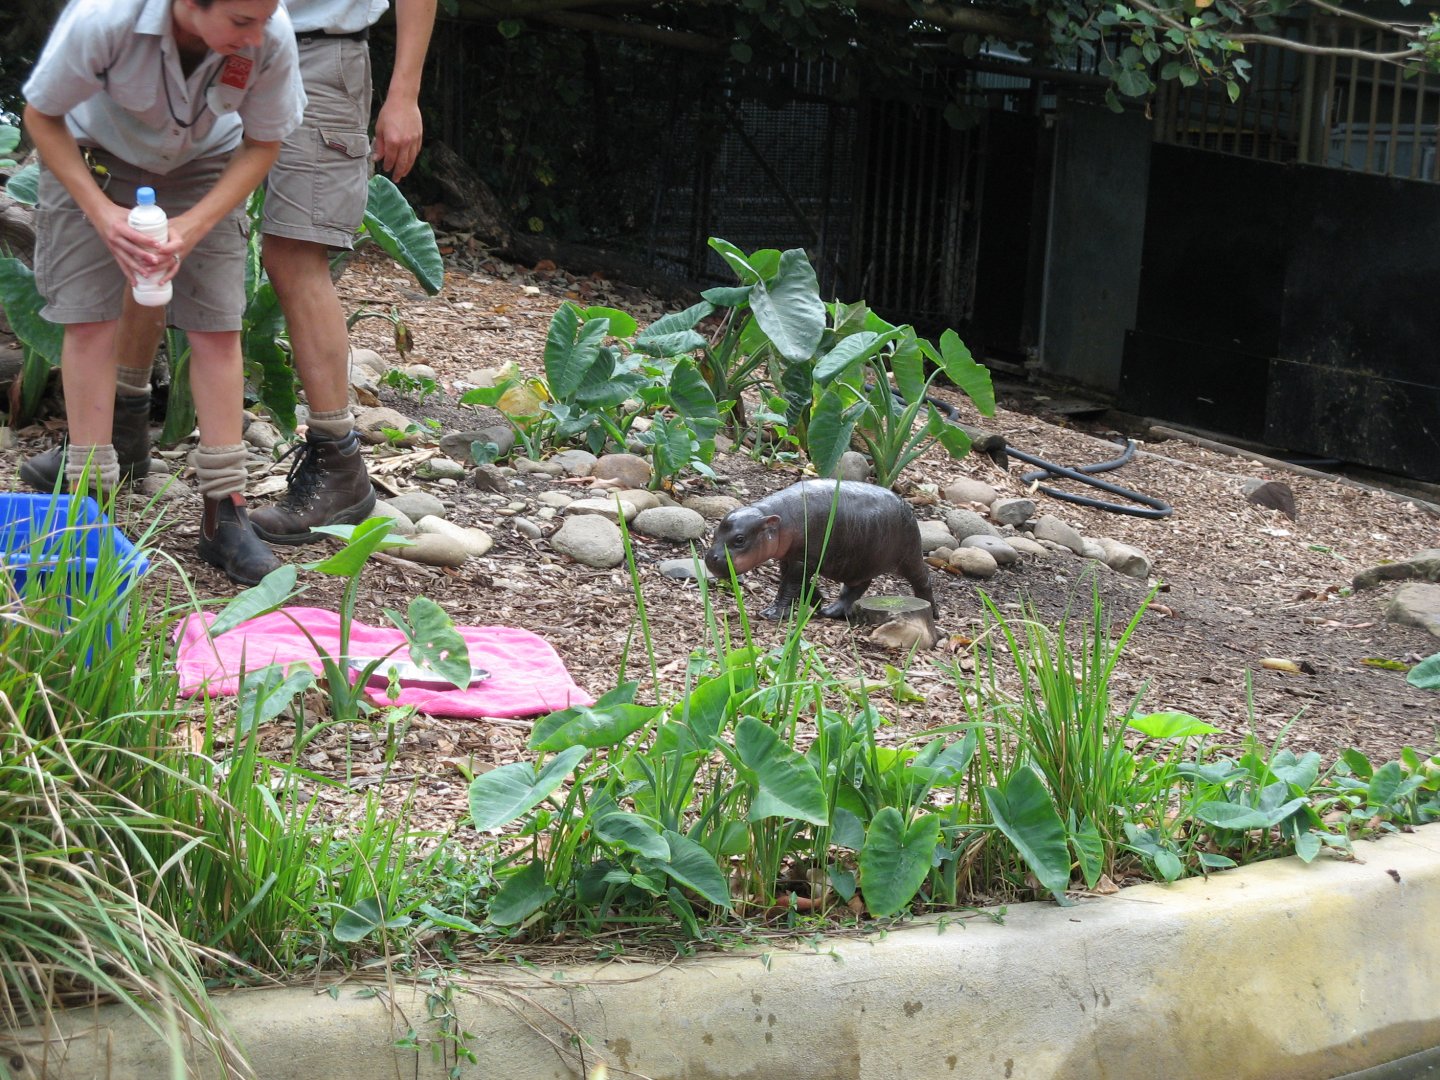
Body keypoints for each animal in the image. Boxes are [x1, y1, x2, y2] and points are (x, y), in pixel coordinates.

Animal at [703, 479, 937, 621]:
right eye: (715, 531)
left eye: (740, 539)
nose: (711, 558)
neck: (776, 519)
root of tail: (907, 506)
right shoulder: (793, 558)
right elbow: (796, 581)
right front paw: (817, 600)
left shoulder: (802, 559)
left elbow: (788, 585)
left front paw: (771, 613)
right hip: (859, 563)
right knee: (857, 587)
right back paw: (830, 611)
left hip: (909, 555)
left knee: (923, 579)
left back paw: (933, 613)